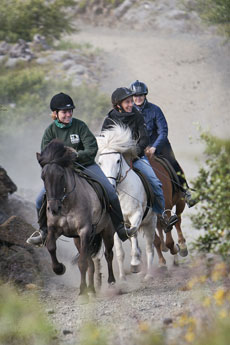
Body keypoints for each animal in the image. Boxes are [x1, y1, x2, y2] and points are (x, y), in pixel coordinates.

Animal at [36, 138, 116, 294]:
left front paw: (82, 292)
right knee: (92, 263)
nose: (53, 208)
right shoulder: (54, 229)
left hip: (107, 231)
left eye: (61, 176)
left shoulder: (84, 231)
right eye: (43, 177)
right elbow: (51, 247)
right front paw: (60, 268)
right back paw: (92, 289)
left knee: (108, 255)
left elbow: (82, 263)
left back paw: (111, 282)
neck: (67, 204)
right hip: (78, 240)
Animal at [96, 123, 157, 280]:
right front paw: (122, 277)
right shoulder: (115, 223)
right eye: (100, 163)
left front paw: (135, 263)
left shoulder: (136, 215)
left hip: (150, 222)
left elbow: (133, 233)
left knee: (150, 248)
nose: (110, 186)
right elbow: (119, 252)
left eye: (118, 161)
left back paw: (148, 274)